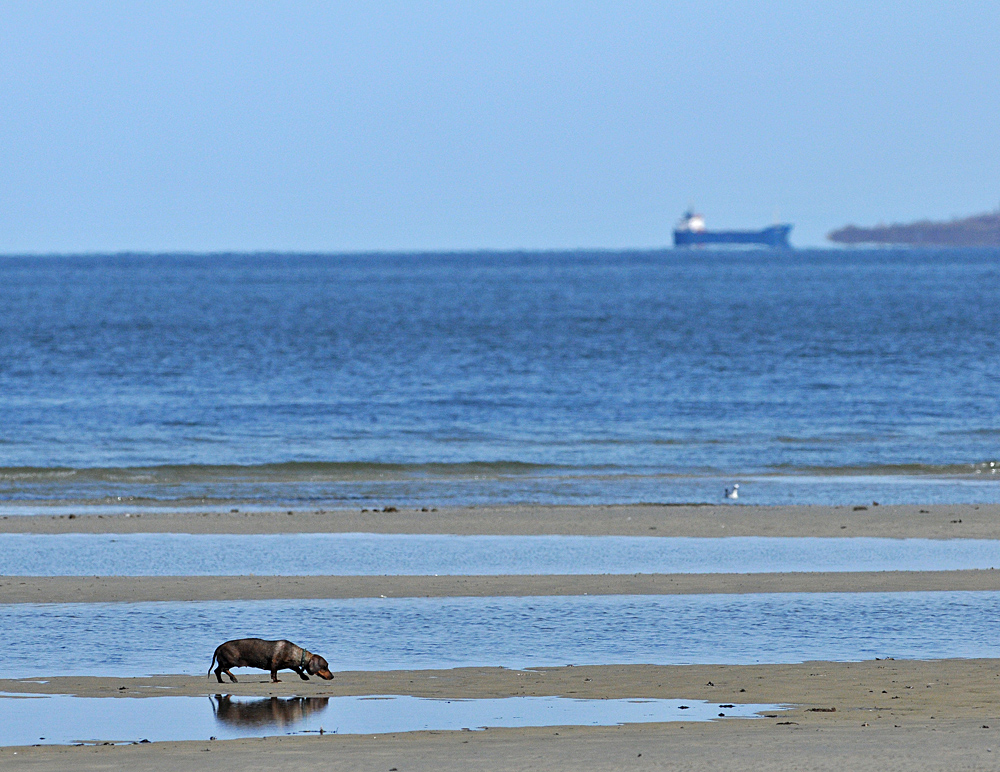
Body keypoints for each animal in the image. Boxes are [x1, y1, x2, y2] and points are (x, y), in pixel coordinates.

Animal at [207, 640, 336, 680]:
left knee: (217, 671)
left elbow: (298, 670)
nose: (333, 676)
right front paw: (276, 680)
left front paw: (304, 677)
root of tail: (219, 647)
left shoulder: (291, 665)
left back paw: (222, 681)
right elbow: (274, 673)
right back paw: (232, 678)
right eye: (325, 667)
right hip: (230, 662)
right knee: (222, 669)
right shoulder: (274, 664)